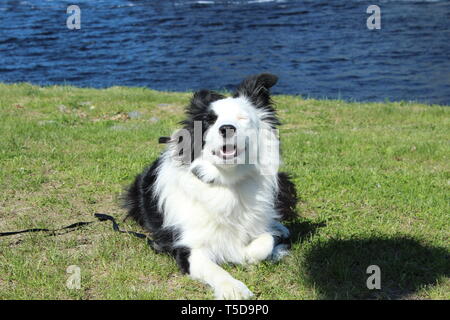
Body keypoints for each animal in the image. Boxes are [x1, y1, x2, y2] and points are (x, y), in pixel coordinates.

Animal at [125, 74, 298, 298]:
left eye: (242, 119)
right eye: (210, 120)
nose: (227, 129)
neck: (226, 181)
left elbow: (265, 241)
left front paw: (249, 252)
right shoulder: (187, 247)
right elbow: (214, 269)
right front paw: (233, 288)